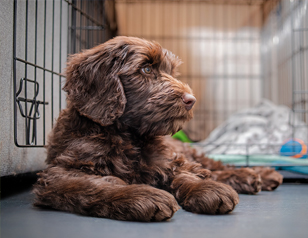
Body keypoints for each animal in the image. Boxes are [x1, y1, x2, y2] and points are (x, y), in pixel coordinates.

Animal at [33, 35, 280, 221]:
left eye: (171, 71)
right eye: (145, 69)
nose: (191, 100)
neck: (127, 136)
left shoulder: (167, 160)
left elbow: (184, 174)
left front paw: (205, 189)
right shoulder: (60, 173)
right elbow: (96, 184)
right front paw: (141, 196)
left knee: (213, 166)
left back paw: (258, 174)